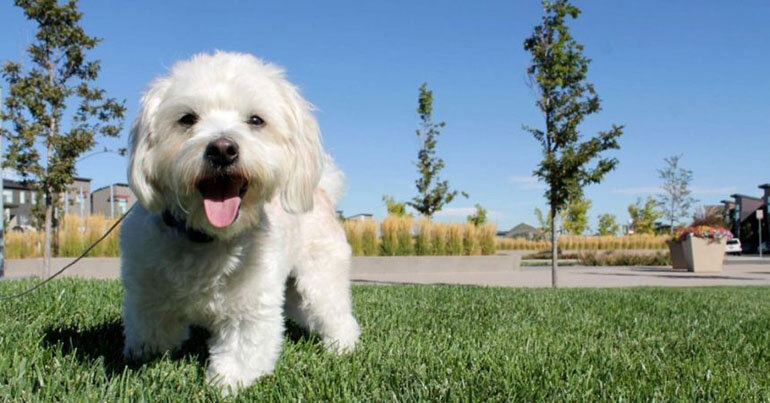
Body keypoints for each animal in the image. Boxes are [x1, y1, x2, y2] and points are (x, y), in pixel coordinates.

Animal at [120, 50, 360, 392]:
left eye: (256, 120)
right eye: (187, 119)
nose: (222, 149)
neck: (208, 236)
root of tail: (323, 190)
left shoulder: (252, 301)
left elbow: (242, 346)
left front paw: (228, 381)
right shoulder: (146, 289)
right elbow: (150, 329)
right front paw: (145, 355)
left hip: (320, 278)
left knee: (335, 313)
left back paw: (342, 346)